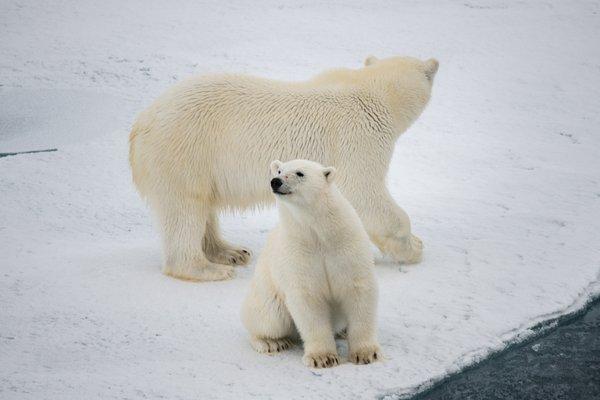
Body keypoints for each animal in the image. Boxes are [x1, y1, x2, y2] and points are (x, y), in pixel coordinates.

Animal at [130, 55, 436, 282]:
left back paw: (231, 252)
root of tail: (141, 124)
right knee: (185, 208)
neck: (371, 92)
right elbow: (366, 196)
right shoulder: (358, 136)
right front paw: (415, 247)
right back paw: (208, 268)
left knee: (203, 206)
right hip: (183, 150)